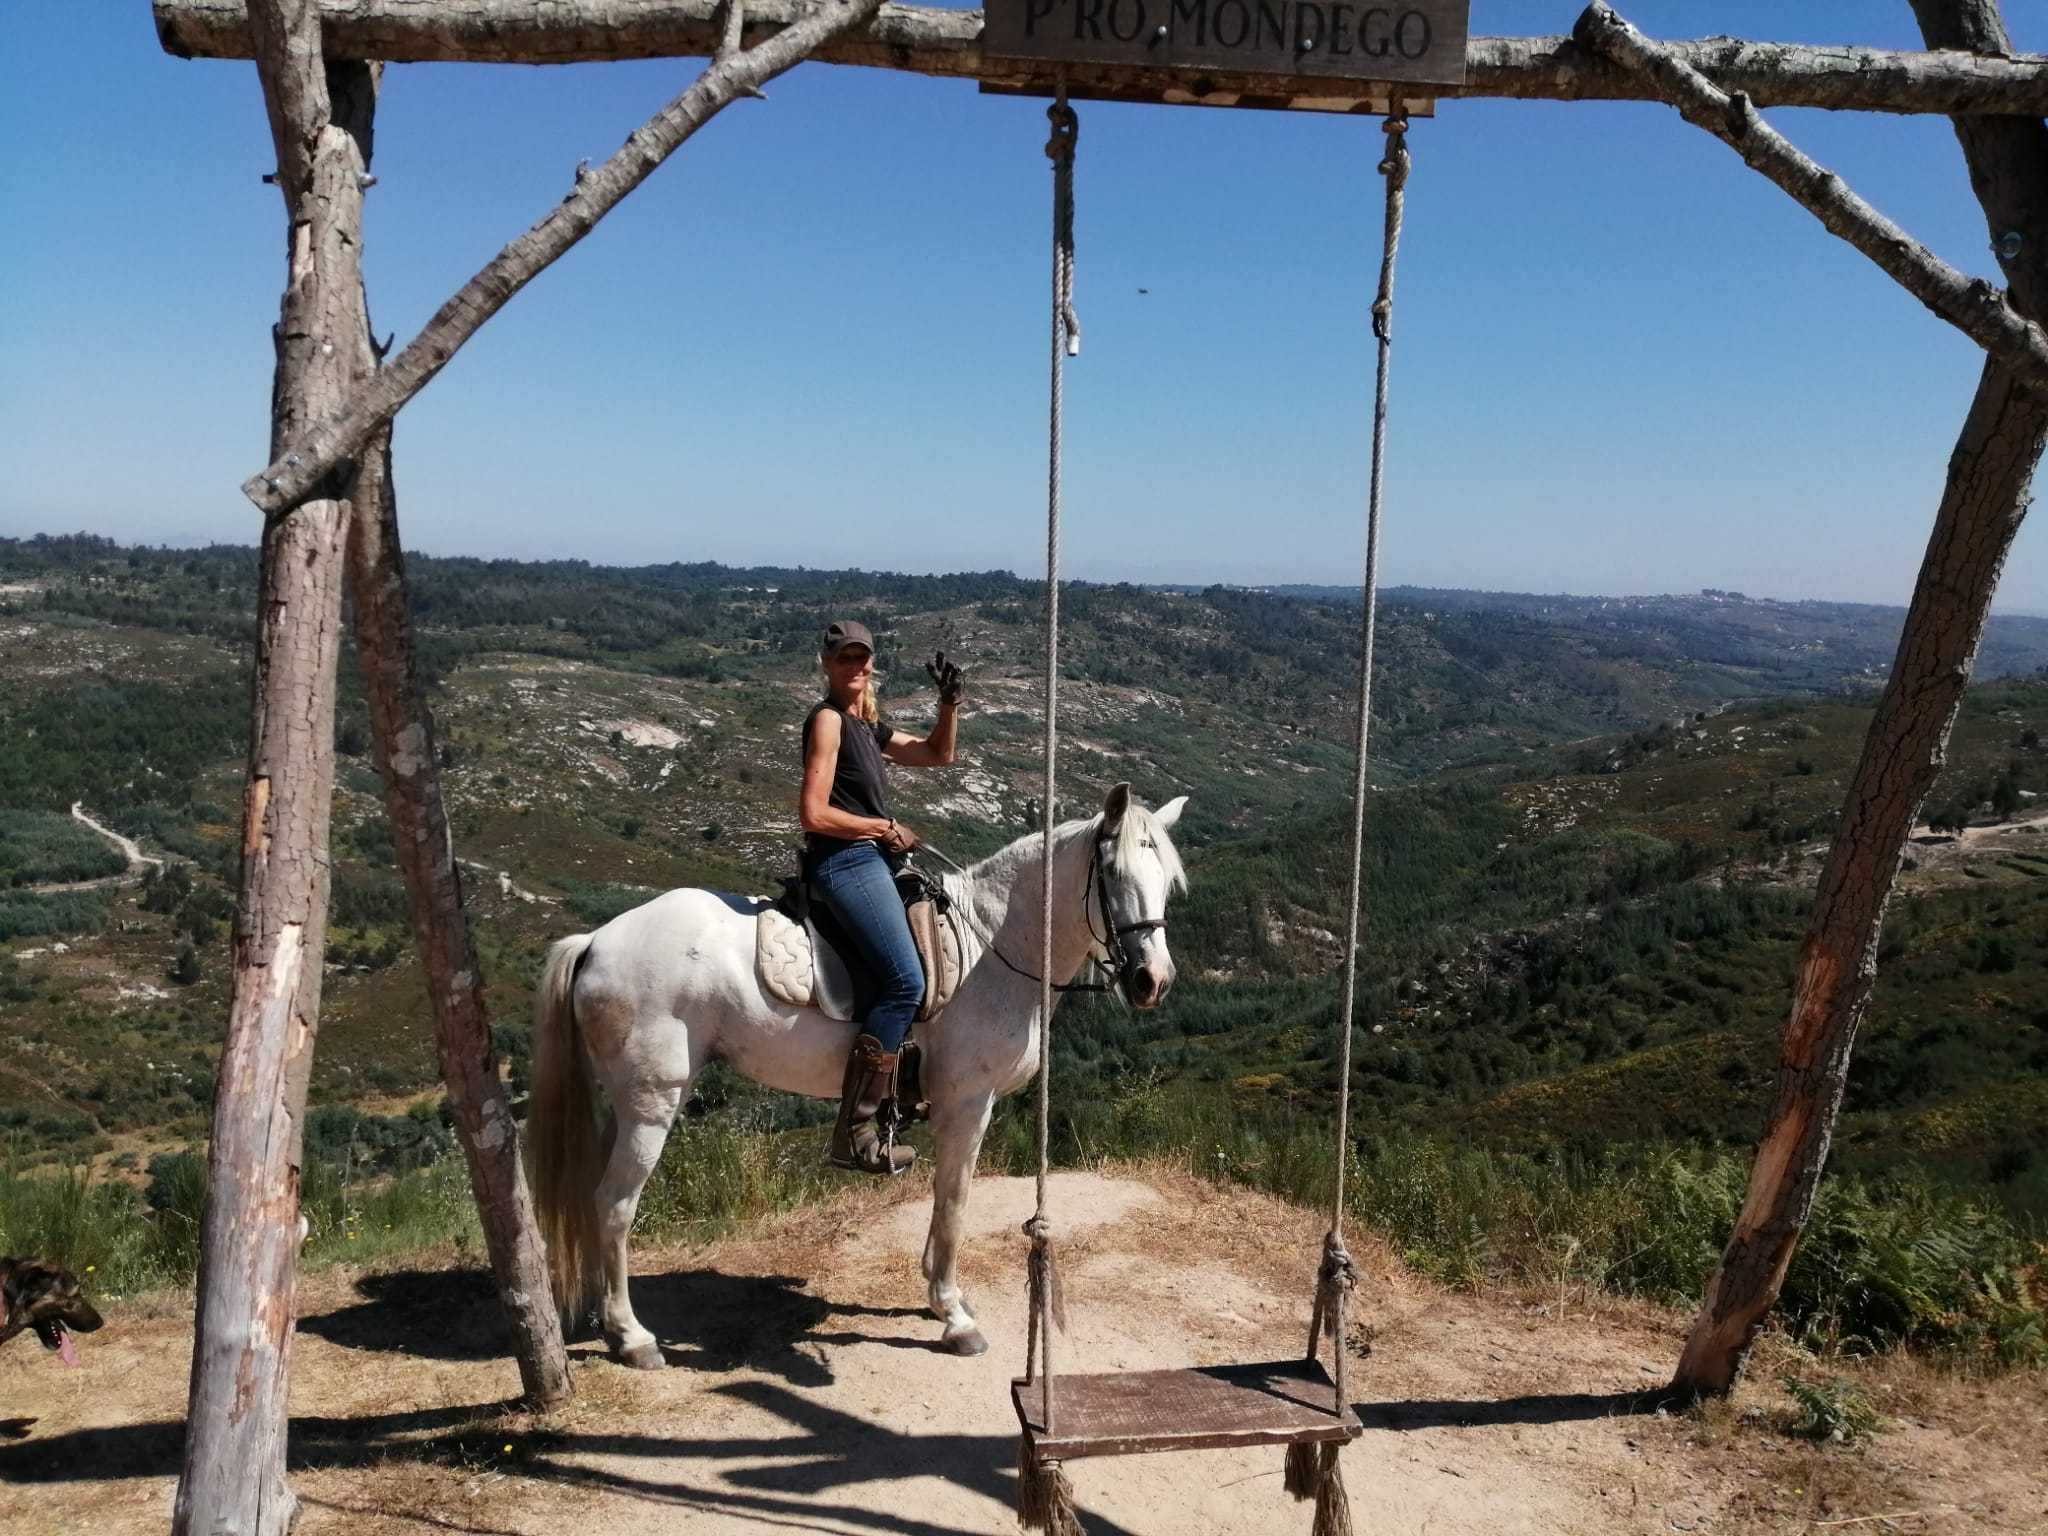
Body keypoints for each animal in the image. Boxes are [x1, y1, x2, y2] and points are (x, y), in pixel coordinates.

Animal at [528, 786, 1196, 1368]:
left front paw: (941, 1296)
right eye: (1112, 874)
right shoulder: (967, 1103)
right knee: (615, 1204)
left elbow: (943, 1201)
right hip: (653, 1104)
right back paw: (631, 1336)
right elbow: (955, 1200)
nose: (1153, 982)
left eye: (1167, 882)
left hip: (624, 1104)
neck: (992, 943)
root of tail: (596, 940)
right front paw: (953, 1316)